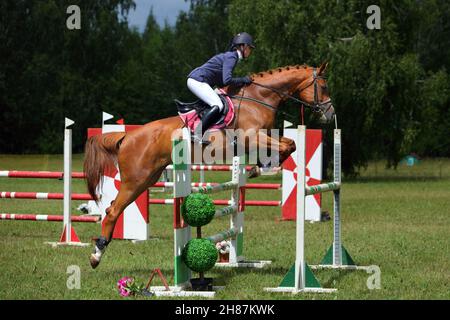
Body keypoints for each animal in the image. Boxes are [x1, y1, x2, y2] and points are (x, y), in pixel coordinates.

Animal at [84, 62, 334, 268]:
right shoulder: (253, 138)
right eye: (322, 86)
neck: (258, 98)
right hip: (136, 179)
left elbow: (290, 144)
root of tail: (127, 136)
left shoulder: (263, 137)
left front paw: (258, 167)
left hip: (147, 179)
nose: (330, 114)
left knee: (112, 208)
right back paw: (96, 255)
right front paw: (259, 167)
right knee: (113, 211)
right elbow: (286, 147)